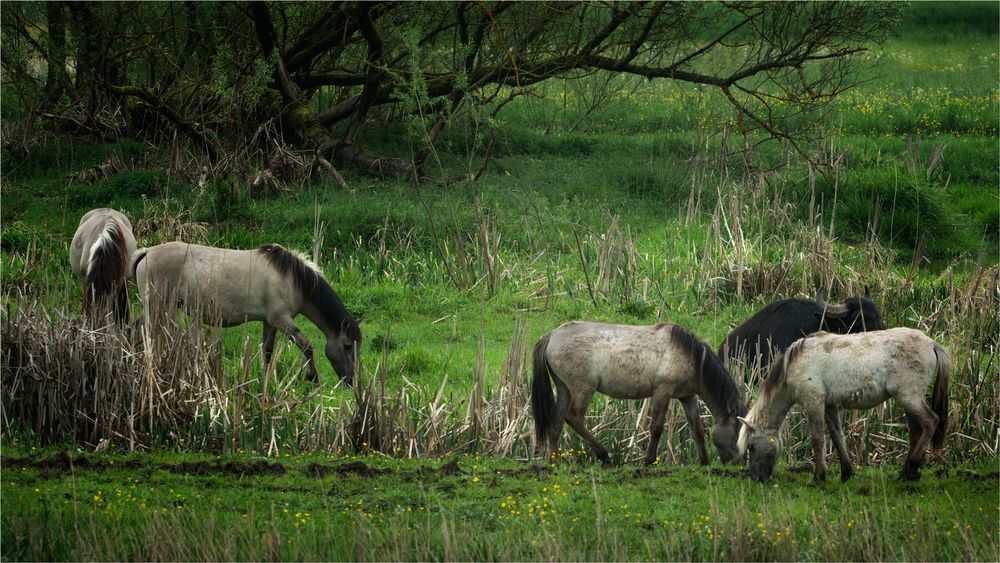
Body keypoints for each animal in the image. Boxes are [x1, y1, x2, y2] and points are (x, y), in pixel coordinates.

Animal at [131, 240, 362, 386]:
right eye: (347, 346)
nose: (352, 381)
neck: (292, 278)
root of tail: (147, 252)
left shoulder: (270, 322)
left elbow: (267, 351)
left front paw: (266, 380)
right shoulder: (282, 320)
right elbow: (307, 346)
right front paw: (312, 377)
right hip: (158, 308)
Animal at [528, 322, 748, 468]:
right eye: (738, 432)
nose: (738, 462)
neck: (688, 355)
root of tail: (551, 336)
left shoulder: (687, 397)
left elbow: (698, 430)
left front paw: (704, 463)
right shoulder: (663, 391)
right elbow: (656, 427)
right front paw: (648, 460)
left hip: (564, 389)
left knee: (556, 423)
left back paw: (555, 462)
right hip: (582, 388)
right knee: (574, 418)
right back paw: (604, 455)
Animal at [740, 328, 948, 482]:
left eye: (751, 446)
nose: (757, 478)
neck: (796, 362)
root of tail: (932, 344)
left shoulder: (813, 401)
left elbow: (818, 439)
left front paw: (819, 477)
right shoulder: (830, 406)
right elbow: (837, 437)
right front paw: (846, 472)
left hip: (908, 398)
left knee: (931, 422)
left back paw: (912, 466)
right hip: (907, 402)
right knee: (915, 433)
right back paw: (906, 473)